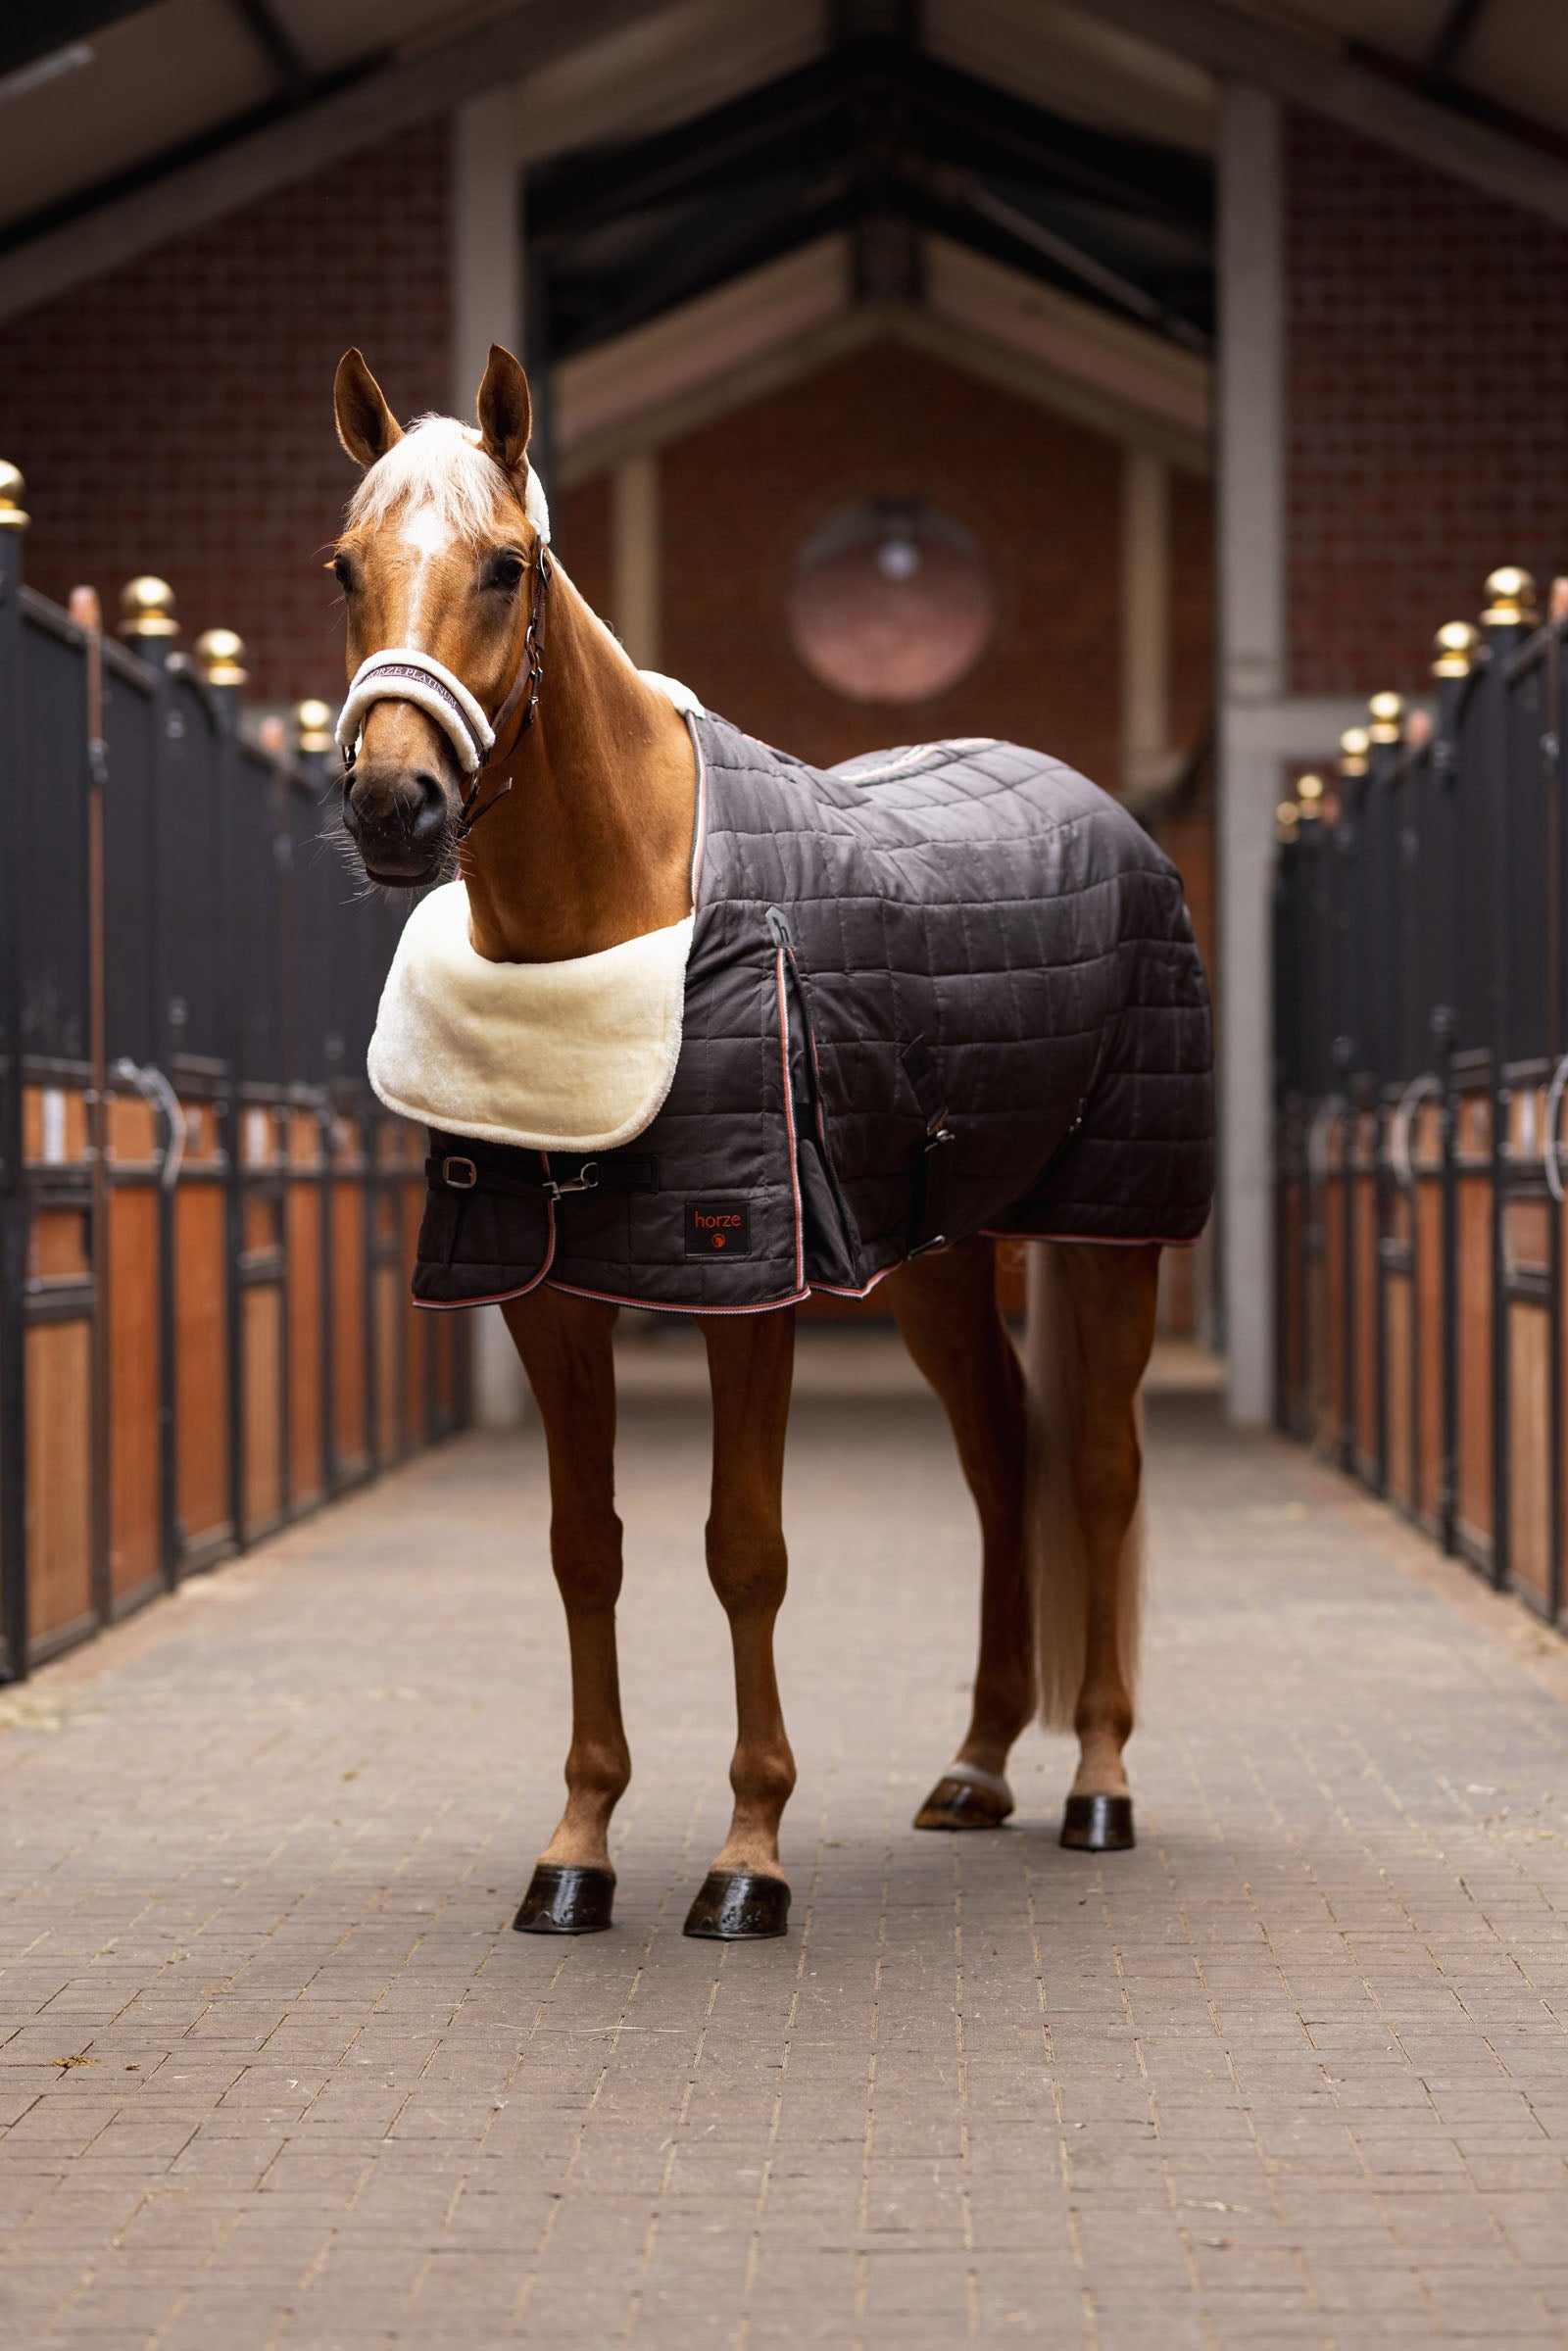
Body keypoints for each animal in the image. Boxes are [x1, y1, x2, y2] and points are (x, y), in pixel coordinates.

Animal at [327, 342, 1213, 1941]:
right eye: (343, 568)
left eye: (505, 565)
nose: (392, 805)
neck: (624, 913)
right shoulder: (550, 1295)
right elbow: (585, 1548)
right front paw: (578, 1847)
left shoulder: (747, 1285)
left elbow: (743, 1549)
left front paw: (748, 1858)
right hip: (935, 1257)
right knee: (1003, 1455)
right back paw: (978, 1765)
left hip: (1112, 1234)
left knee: (1105, 1471)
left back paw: (1098, 1782)